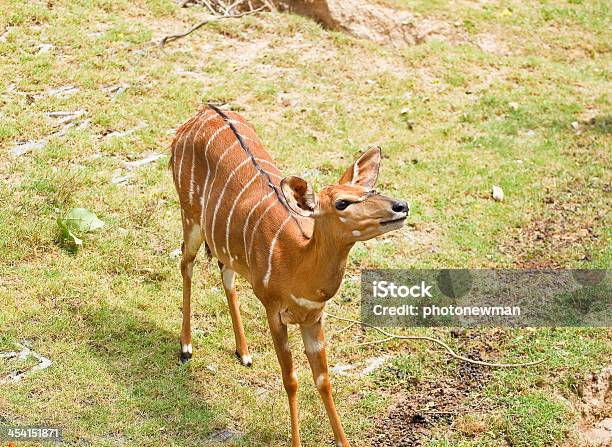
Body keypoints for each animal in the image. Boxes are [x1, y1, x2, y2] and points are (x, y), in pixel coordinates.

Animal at [170, 103, 408, 446]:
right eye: (342, 202)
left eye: (371, 189)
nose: (401, 206)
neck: (296, 264)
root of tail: (204, 110)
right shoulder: (274, 312)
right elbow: (291, 379)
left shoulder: (313, 319)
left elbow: (323, 380)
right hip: (189, 215)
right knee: (185, 263)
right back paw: (186, 347)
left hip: (222, 243)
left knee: (225, 273)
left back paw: (244, 353)